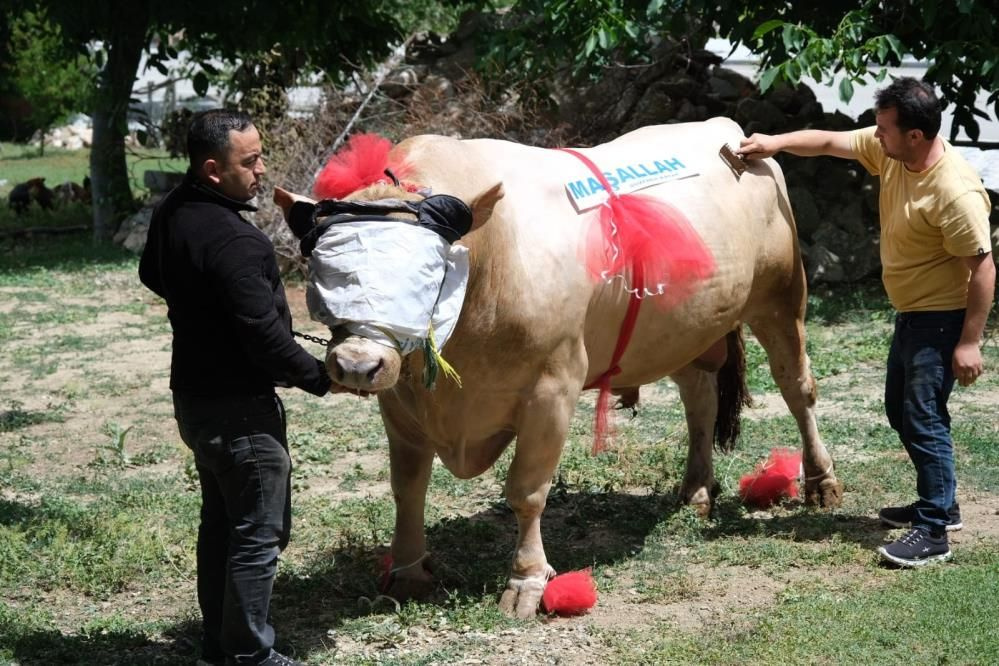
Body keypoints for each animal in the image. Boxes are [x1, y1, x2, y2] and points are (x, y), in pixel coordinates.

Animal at [276, 115, 844, 616]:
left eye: (425, 274)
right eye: (323, 268)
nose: (356, 365)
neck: (490, 257)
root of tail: (732, 135)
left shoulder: (552, 389)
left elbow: (526, 491)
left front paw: (526, 582)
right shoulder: (401, 403)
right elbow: (407, 488)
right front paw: (409, 573)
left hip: (781, 300)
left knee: (797, 389)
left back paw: (821, 482)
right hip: (684, 328)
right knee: (699, 400)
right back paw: (697, 490)